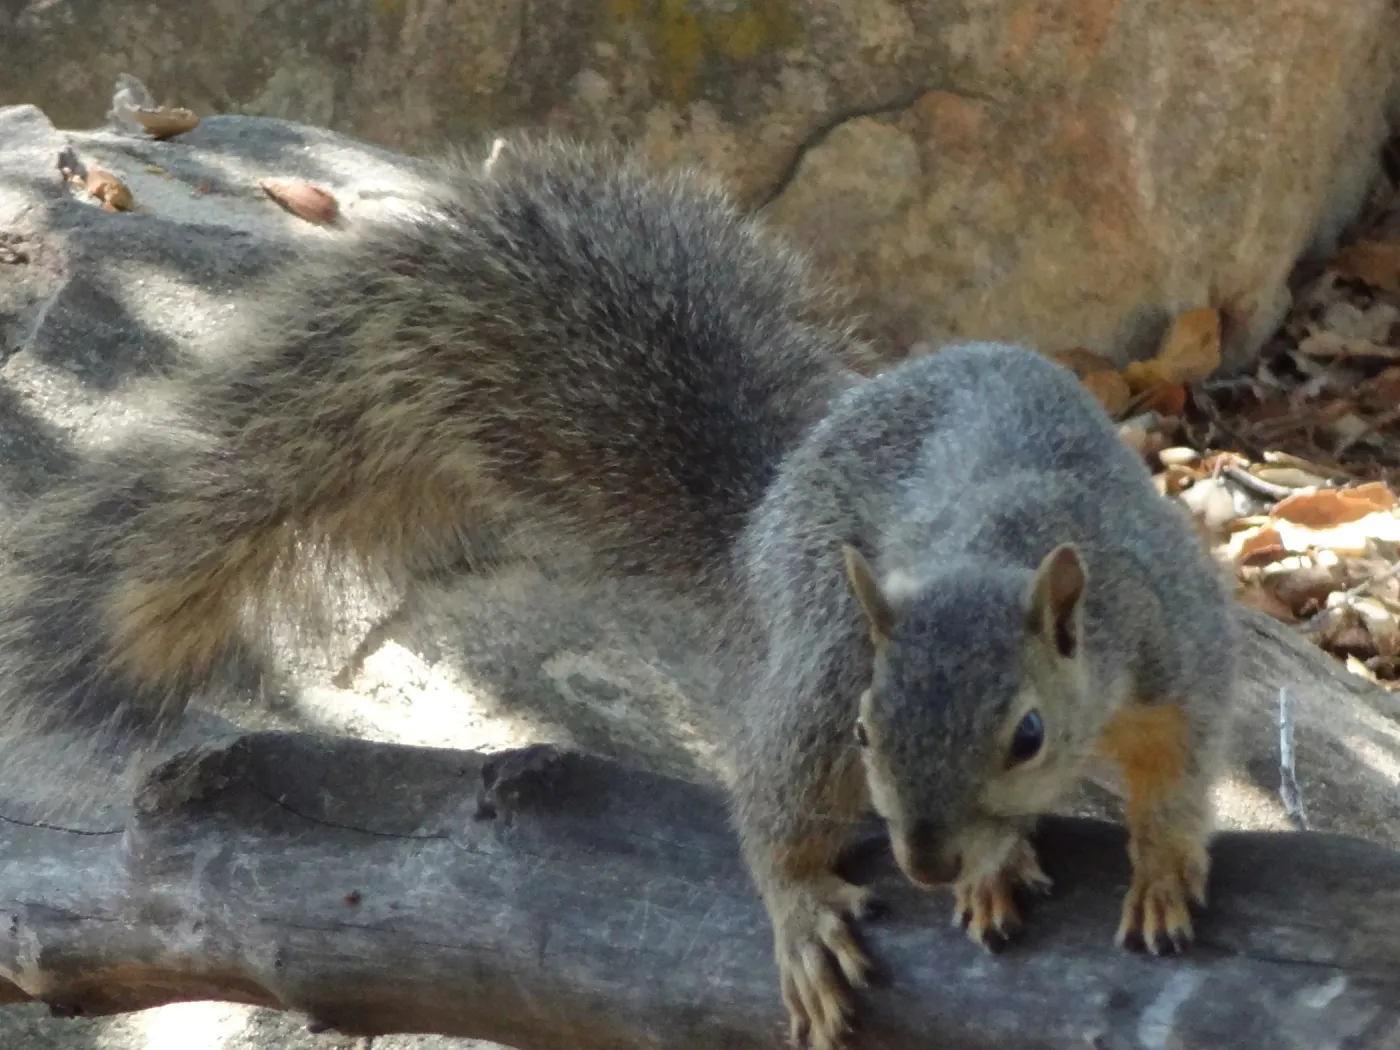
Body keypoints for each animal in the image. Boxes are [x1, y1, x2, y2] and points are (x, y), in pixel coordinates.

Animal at [0, 134, 1237, 1049]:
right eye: (870, 730)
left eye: (1025, 731)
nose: (929, 859)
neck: (996, 548)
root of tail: (768, 505)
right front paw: (982, 868)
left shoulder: (1171, 641)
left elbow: (1183, 766)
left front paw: (1160, 866)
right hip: (820, 634)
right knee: (769, 792)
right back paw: (807, 905)